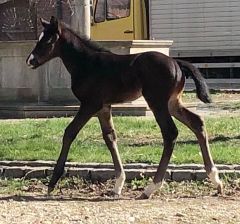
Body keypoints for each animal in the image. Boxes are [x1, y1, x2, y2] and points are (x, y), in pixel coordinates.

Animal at [26, 16, 223, 199]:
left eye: (48, 41)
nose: (30, 60)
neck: (87, 63)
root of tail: (177, 63)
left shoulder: (90, 104)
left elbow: (69, 132)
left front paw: (52, 183)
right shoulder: (104, 107)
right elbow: (110, 137)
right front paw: (118, 185)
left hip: (157, 102)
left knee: (170, 133)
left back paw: (151, 188)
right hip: (173, 103)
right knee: (197, 122)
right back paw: (215, 179)